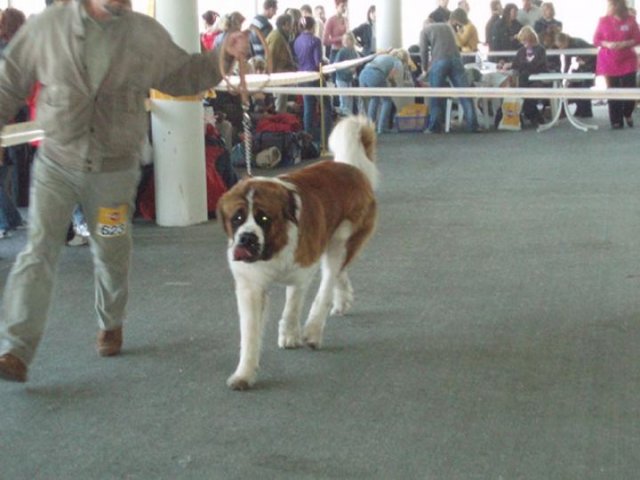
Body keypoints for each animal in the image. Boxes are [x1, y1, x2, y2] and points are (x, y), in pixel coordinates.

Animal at [217, 116, 379, 390]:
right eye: (237, 218)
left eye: (263, 219)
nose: (247, 238)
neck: (274, 247)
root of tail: (351, 168)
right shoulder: (250, 285)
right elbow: (249, 333)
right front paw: (244, 373)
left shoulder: (302, 269)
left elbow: (292, 306)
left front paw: (290, 334)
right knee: (339, 273)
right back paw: (343, 299)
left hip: (341, 240)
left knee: (327, 283)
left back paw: (313, 330)